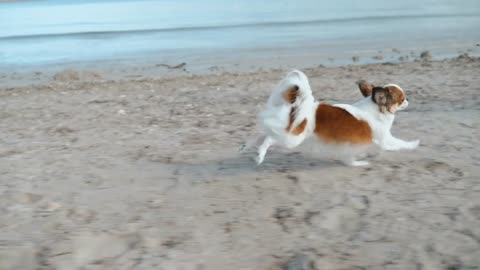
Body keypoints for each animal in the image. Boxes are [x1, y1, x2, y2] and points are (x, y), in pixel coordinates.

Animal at [246, 69, 418, 166]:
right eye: (402, 99)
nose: (408, 100)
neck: (377, 109)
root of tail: (299, 107)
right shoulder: (385, 140)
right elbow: (400, 144)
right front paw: (413, 144)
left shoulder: (350, 144)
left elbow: (349, 157)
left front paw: (356, 163)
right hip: (292, 139)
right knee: (269, 139)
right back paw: (260, 155)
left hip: (286, 132)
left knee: (264, 133)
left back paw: (247, 146)